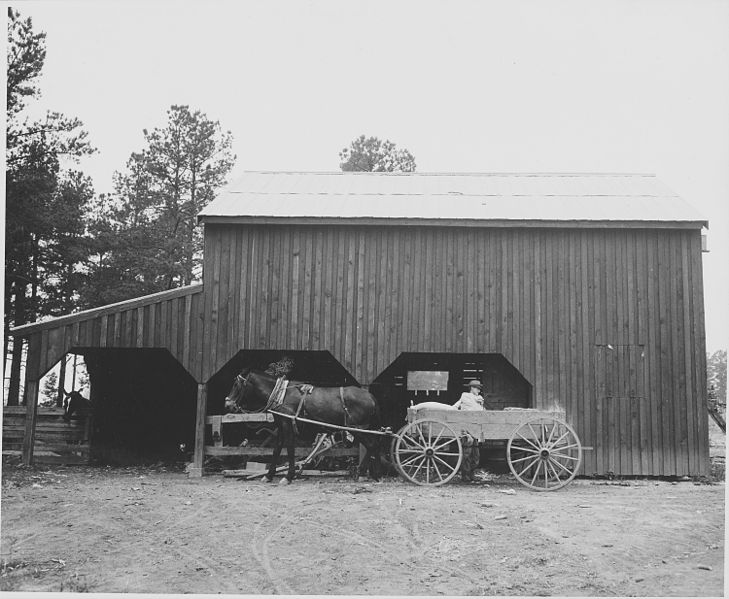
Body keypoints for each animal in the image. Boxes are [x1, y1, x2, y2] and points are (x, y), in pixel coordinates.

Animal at [223, 368, 384, 486]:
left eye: (236, 384)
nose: (228, 404)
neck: (281, 395)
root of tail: (370, 396)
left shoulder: (288, 425)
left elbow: (289, 449)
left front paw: (288, 476)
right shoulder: (281, 426)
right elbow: (276, 449)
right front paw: (268, 475)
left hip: (357, 428)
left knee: (372, 445)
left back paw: (370, 474)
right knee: (374, 445)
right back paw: (371, 474)